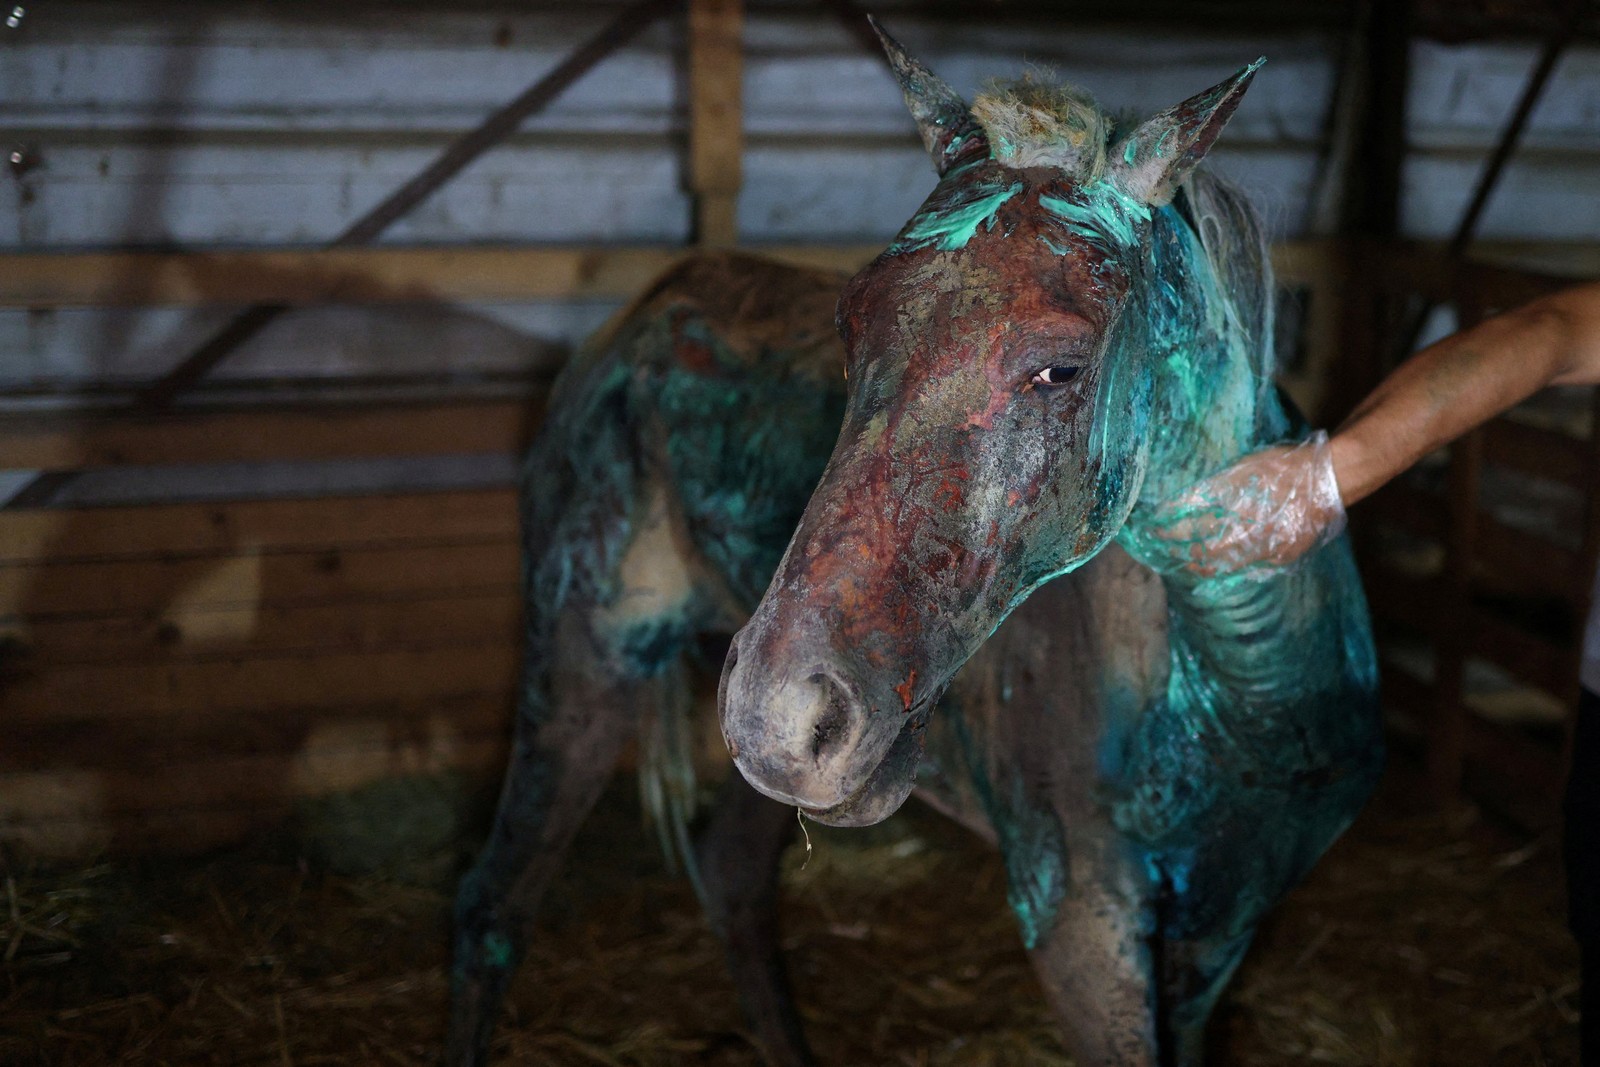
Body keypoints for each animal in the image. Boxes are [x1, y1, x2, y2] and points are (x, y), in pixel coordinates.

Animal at [449, 23, 1383, 1067]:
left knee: (729, 876)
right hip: (583, 664)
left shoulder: (1221, 932)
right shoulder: (1084, 932)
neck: (1243, 679)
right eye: (849, 326)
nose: (779, 711)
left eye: (1062, 368)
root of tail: (640, 314)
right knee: (493, 908)